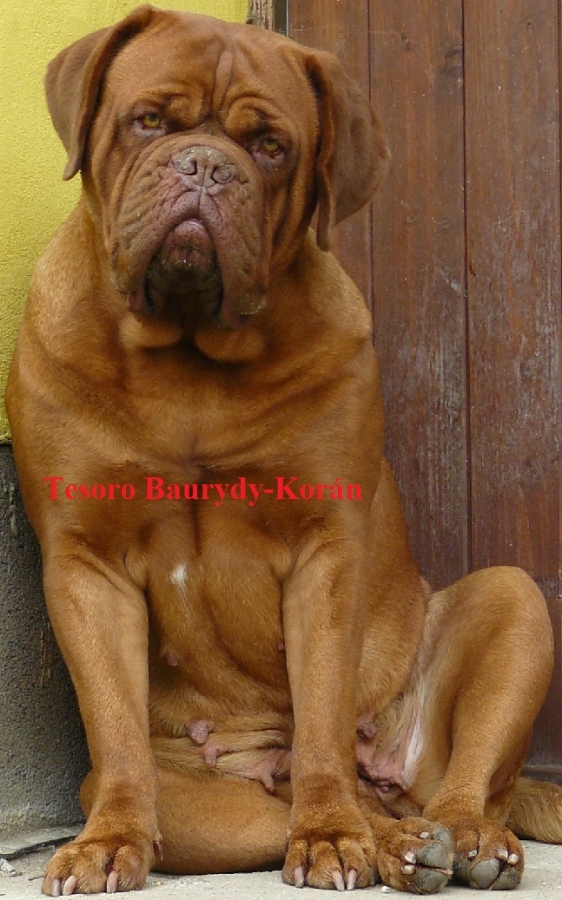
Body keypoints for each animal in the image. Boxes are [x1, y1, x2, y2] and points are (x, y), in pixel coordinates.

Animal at [6, 5, 562, 896]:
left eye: (269, 146)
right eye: (148, 121)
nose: (204, 165)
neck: (189, 357)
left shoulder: (325, 548)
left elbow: (324, 708)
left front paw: (330, 834)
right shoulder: (85, 563)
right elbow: (115, 722)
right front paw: (108, 843)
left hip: (512, 604)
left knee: (459, 781)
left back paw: (451, 839)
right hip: (202, 798)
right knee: (260, 807)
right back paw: (397, 841)